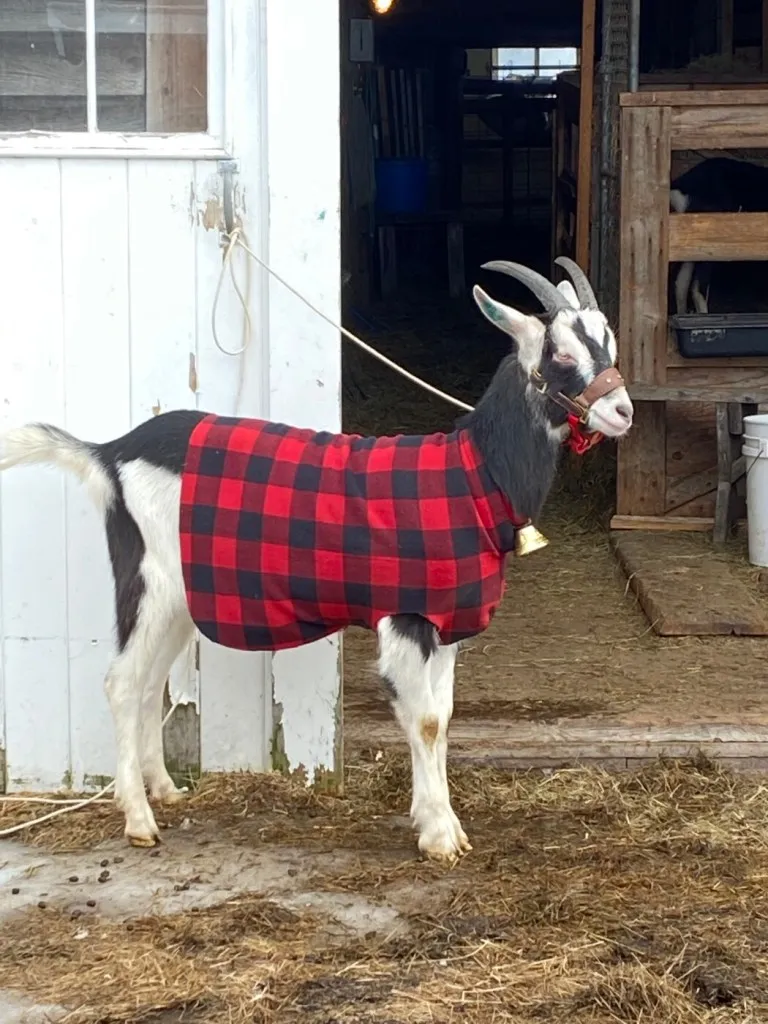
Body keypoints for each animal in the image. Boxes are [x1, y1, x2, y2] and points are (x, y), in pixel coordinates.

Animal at [0, 258, 633, 865]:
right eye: (562, 353)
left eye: (609, 342)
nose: (623, 411)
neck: (472, 475)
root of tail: (108, 454)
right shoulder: (406, 617)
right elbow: (425, 721)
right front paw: (439, 837)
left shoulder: (447, 622)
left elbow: (445, 717)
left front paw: (438, 820)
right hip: (149, 580)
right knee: (122, 681)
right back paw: (138, 821)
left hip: (180, 598)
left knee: (151, 680)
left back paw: (166, 790)